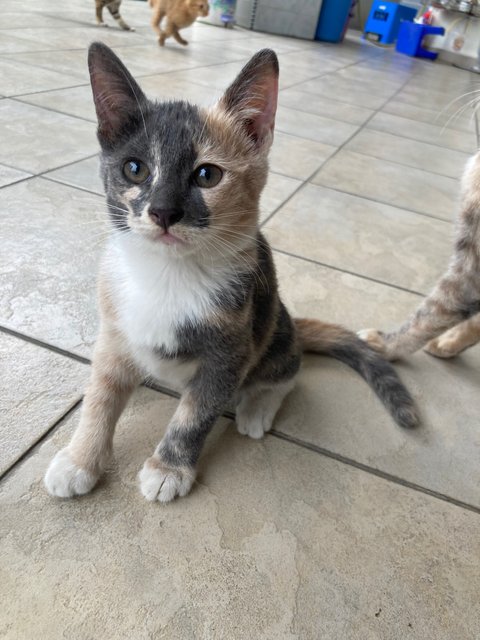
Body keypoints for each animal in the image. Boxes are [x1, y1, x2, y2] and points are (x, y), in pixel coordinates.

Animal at [45, 41, 418, 504]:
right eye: (135, 168)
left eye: (208, 175)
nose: (163, 211)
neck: (169, 274)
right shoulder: (114, 330)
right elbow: (100, 394)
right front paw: (80, 459)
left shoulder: (229, 352)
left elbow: (194, 415)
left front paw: (169, 468)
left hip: (272, 329)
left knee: (288, 372)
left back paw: (258, 406)